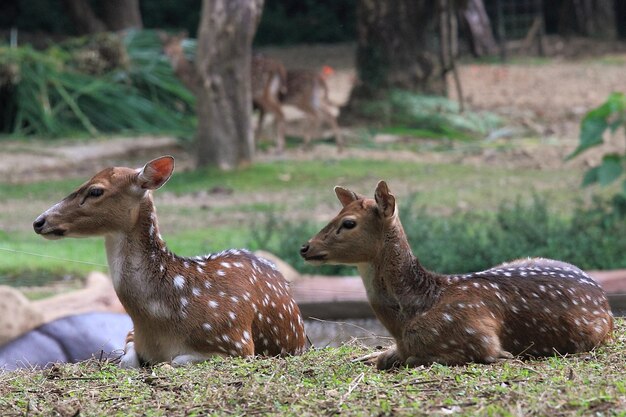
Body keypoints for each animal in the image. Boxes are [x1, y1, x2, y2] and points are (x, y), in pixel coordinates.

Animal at [34, 154, 308, 366]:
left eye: (95, 190)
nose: (39, 221)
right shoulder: (132, 334)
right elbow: (127, 361)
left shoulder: (236, 343)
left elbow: (174, 361)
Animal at [300, 180, 612, 368]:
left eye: (348, 223)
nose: (305, 246)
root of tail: (604, 297)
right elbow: (386, 357)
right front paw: (369, 355)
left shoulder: (478, 338)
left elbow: (413, 358)